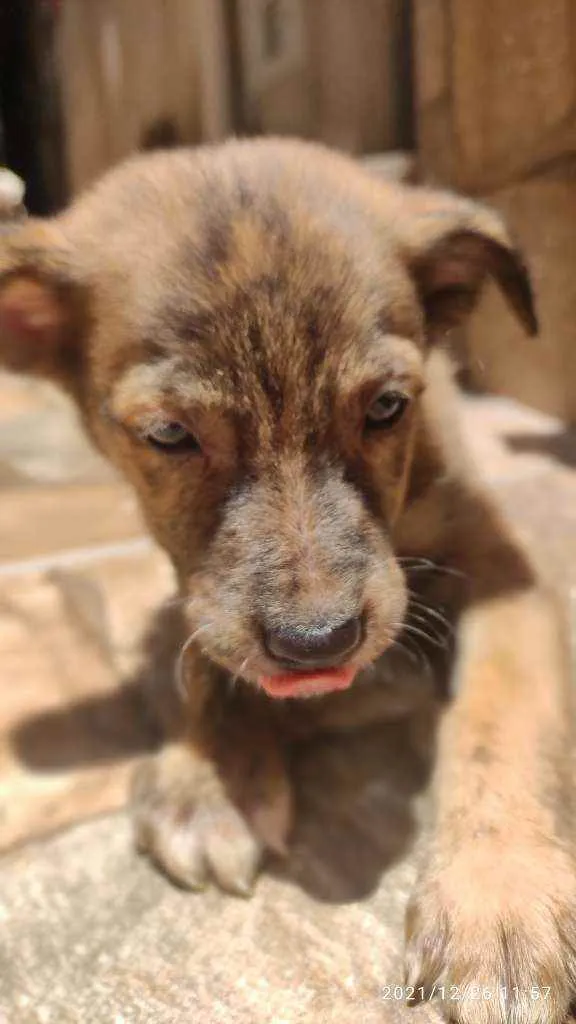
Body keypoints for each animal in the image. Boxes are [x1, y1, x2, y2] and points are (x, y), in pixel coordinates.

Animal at [1, 138, 573, 1024]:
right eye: (169, 435)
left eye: (387, 407)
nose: (319, 644)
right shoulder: (193, 587)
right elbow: (203, 657)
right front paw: (210, 777)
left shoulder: (506, 570)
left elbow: (497, 714)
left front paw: (499, 899)